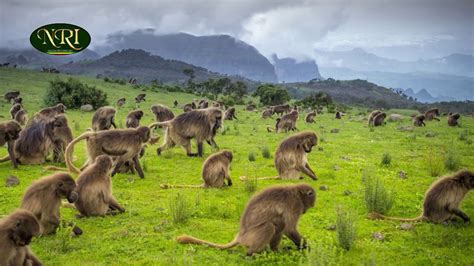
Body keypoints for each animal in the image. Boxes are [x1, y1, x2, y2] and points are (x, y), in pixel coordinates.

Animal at [176, 183, 316, 256]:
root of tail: (240, 235)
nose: (304, 211)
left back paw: (274, 251)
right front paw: (308, 249)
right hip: (250, 237)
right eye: (308, 206)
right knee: (271, 226)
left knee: (279, 224)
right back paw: (252, 254)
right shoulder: (295, 204)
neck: (296, 192)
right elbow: (290, 229)